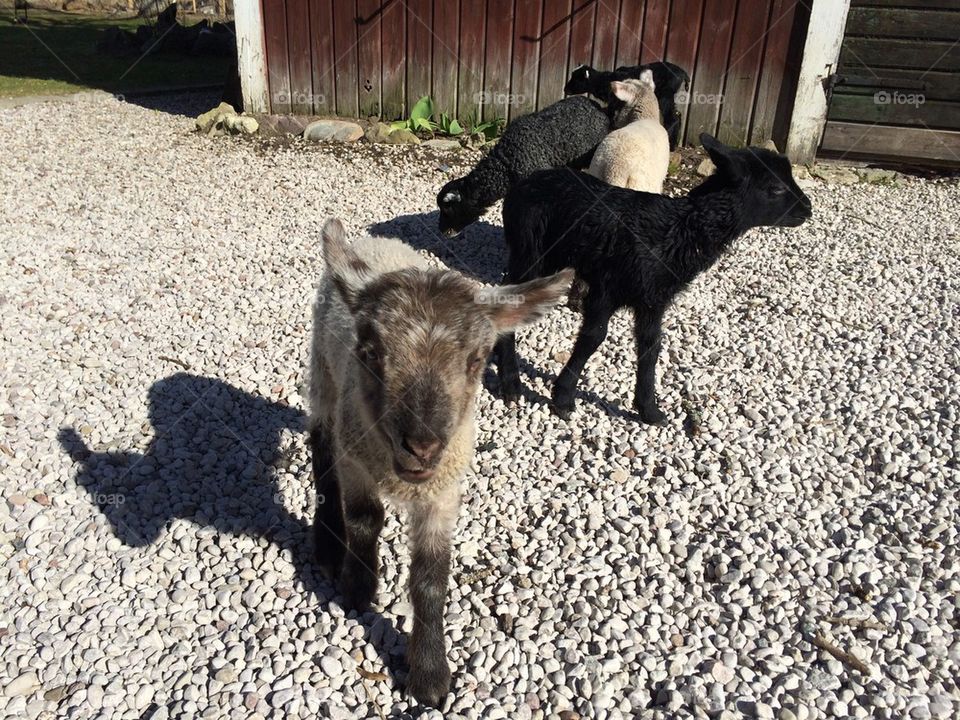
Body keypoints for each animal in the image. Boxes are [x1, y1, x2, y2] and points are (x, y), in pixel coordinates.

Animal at [308, 218, 573, 708]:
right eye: (369, 352)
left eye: (478, 359)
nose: (422, 446)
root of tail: (378, 242)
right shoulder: (356, 460)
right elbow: (364, 521)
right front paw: (358, 588)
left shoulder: (443, 491)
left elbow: (431, 576)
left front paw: (430, 675)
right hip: (324, 374)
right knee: (321, 445)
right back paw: (327, 542)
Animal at [494, 133, 812, 424]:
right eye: (775, 188)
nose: (807, 209)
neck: (681, 231)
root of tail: (521, 185)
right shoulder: (607, 286)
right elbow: (594, 336)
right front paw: (563, 397)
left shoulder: (653, 298)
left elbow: (651, 345)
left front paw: (649, 409)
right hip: (531, 251)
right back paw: (511, 384)